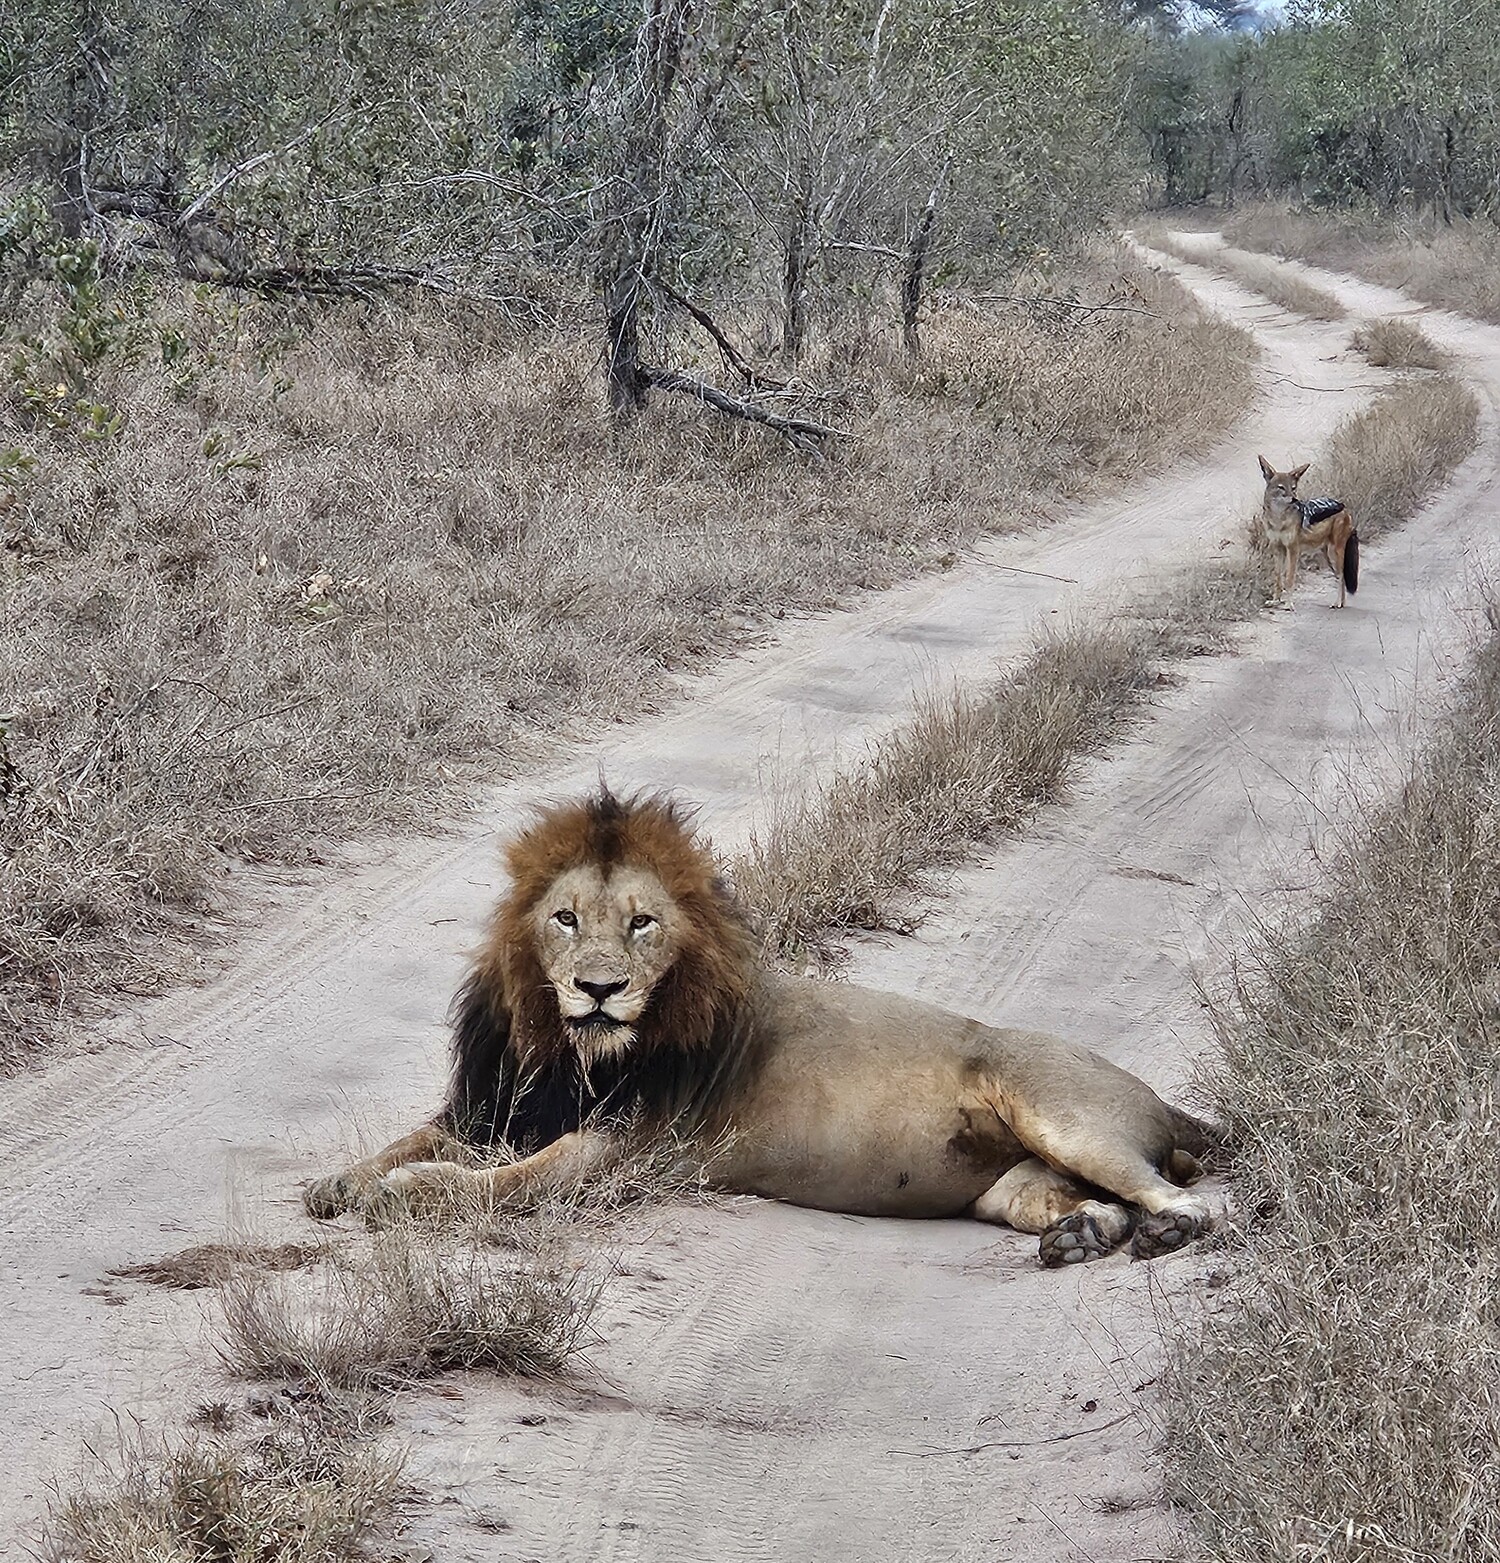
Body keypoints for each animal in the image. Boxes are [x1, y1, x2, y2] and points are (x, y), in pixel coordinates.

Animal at [305, 789, 1220, 1265]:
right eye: (565, 918)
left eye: (642, 923)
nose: (598, 989)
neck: (568, 1051)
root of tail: (1164, 1102)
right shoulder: (492, 1105)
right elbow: (412, 1138)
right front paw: (340, 1178)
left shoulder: (617, 1151)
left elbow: (505, 1180)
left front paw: (404, 1191)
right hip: (1013, 1185)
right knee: (1093, 1201)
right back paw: (1083, 1234)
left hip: (1059, 1111)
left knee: (1194, 1196)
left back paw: (1171, 1228)